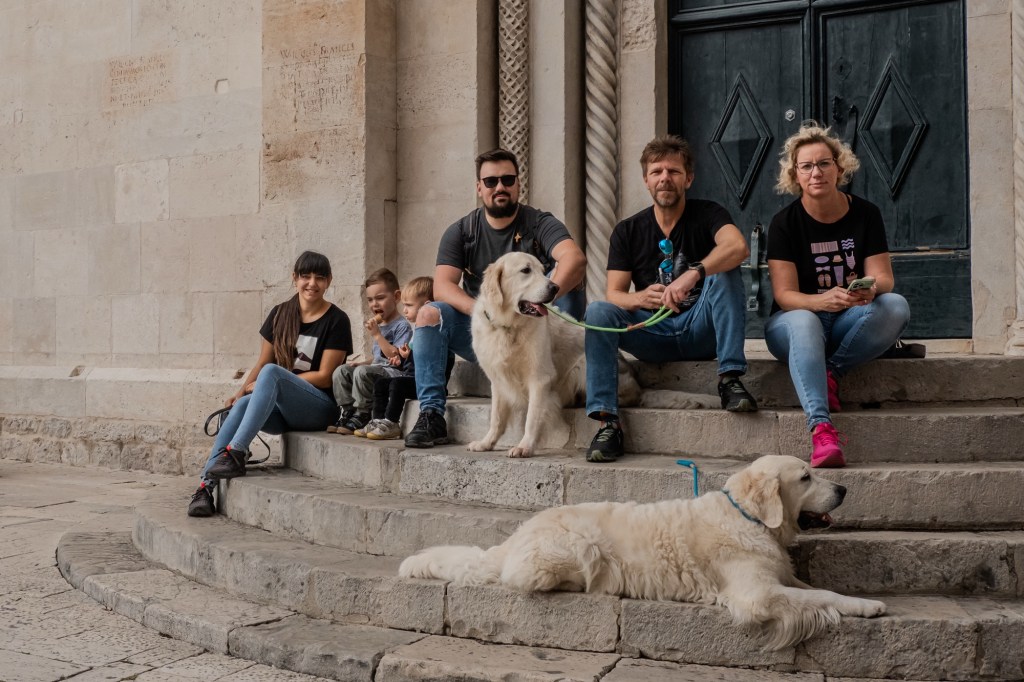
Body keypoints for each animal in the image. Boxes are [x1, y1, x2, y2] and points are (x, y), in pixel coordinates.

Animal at [399, 454, 886, 649]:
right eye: (805, 477)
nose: (844, 489)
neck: (749, 518)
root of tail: (514, 538)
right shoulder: (757, 596)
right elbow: (819, 596)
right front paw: (867, 605)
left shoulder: (778, 576)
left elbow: (809, 585)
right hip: (581, 547)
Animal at [467, 252, 641, 458]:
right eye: (525, 270)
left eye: (543, 271)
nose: (555, 287)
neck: (508, 327)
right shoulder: (498, 379)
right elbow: (496, 418)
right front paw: (486, 443)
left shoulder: (540, 377)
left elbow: (532, 418)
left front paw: (524, 446)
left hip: (583, 365)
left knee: (631, 394)